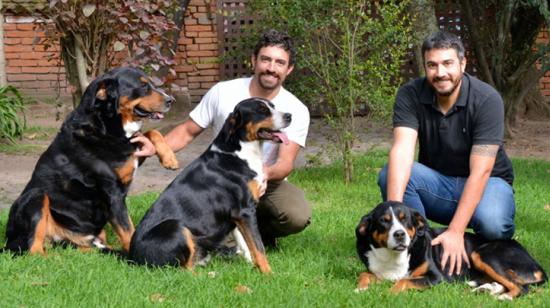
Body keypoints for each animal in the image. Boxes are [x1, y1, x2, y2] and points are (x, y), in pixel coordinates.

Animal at [3, 67, 179, 255]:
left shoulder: (130, 154)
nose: (170, 100)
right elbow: (128, 230)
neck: (106, 126)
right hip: (36, 196)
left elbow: (152, 133)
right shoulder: (113, 194)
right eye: (143, 86)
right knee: (34, 249)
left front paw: (169, 158)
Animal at [356, 201, 548, 300]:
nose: (399, 234)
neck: (394, 256)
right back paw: (483, 289)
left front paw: (387, 294)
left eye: (405, 220)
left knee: (521, 287)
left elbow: (403, 281)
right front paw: (360, 289)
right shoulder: (379, 272)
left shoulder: (436, 277)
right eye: (384, 220)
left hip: (483, 253)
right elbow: (364, 274)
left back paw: (502, 297)